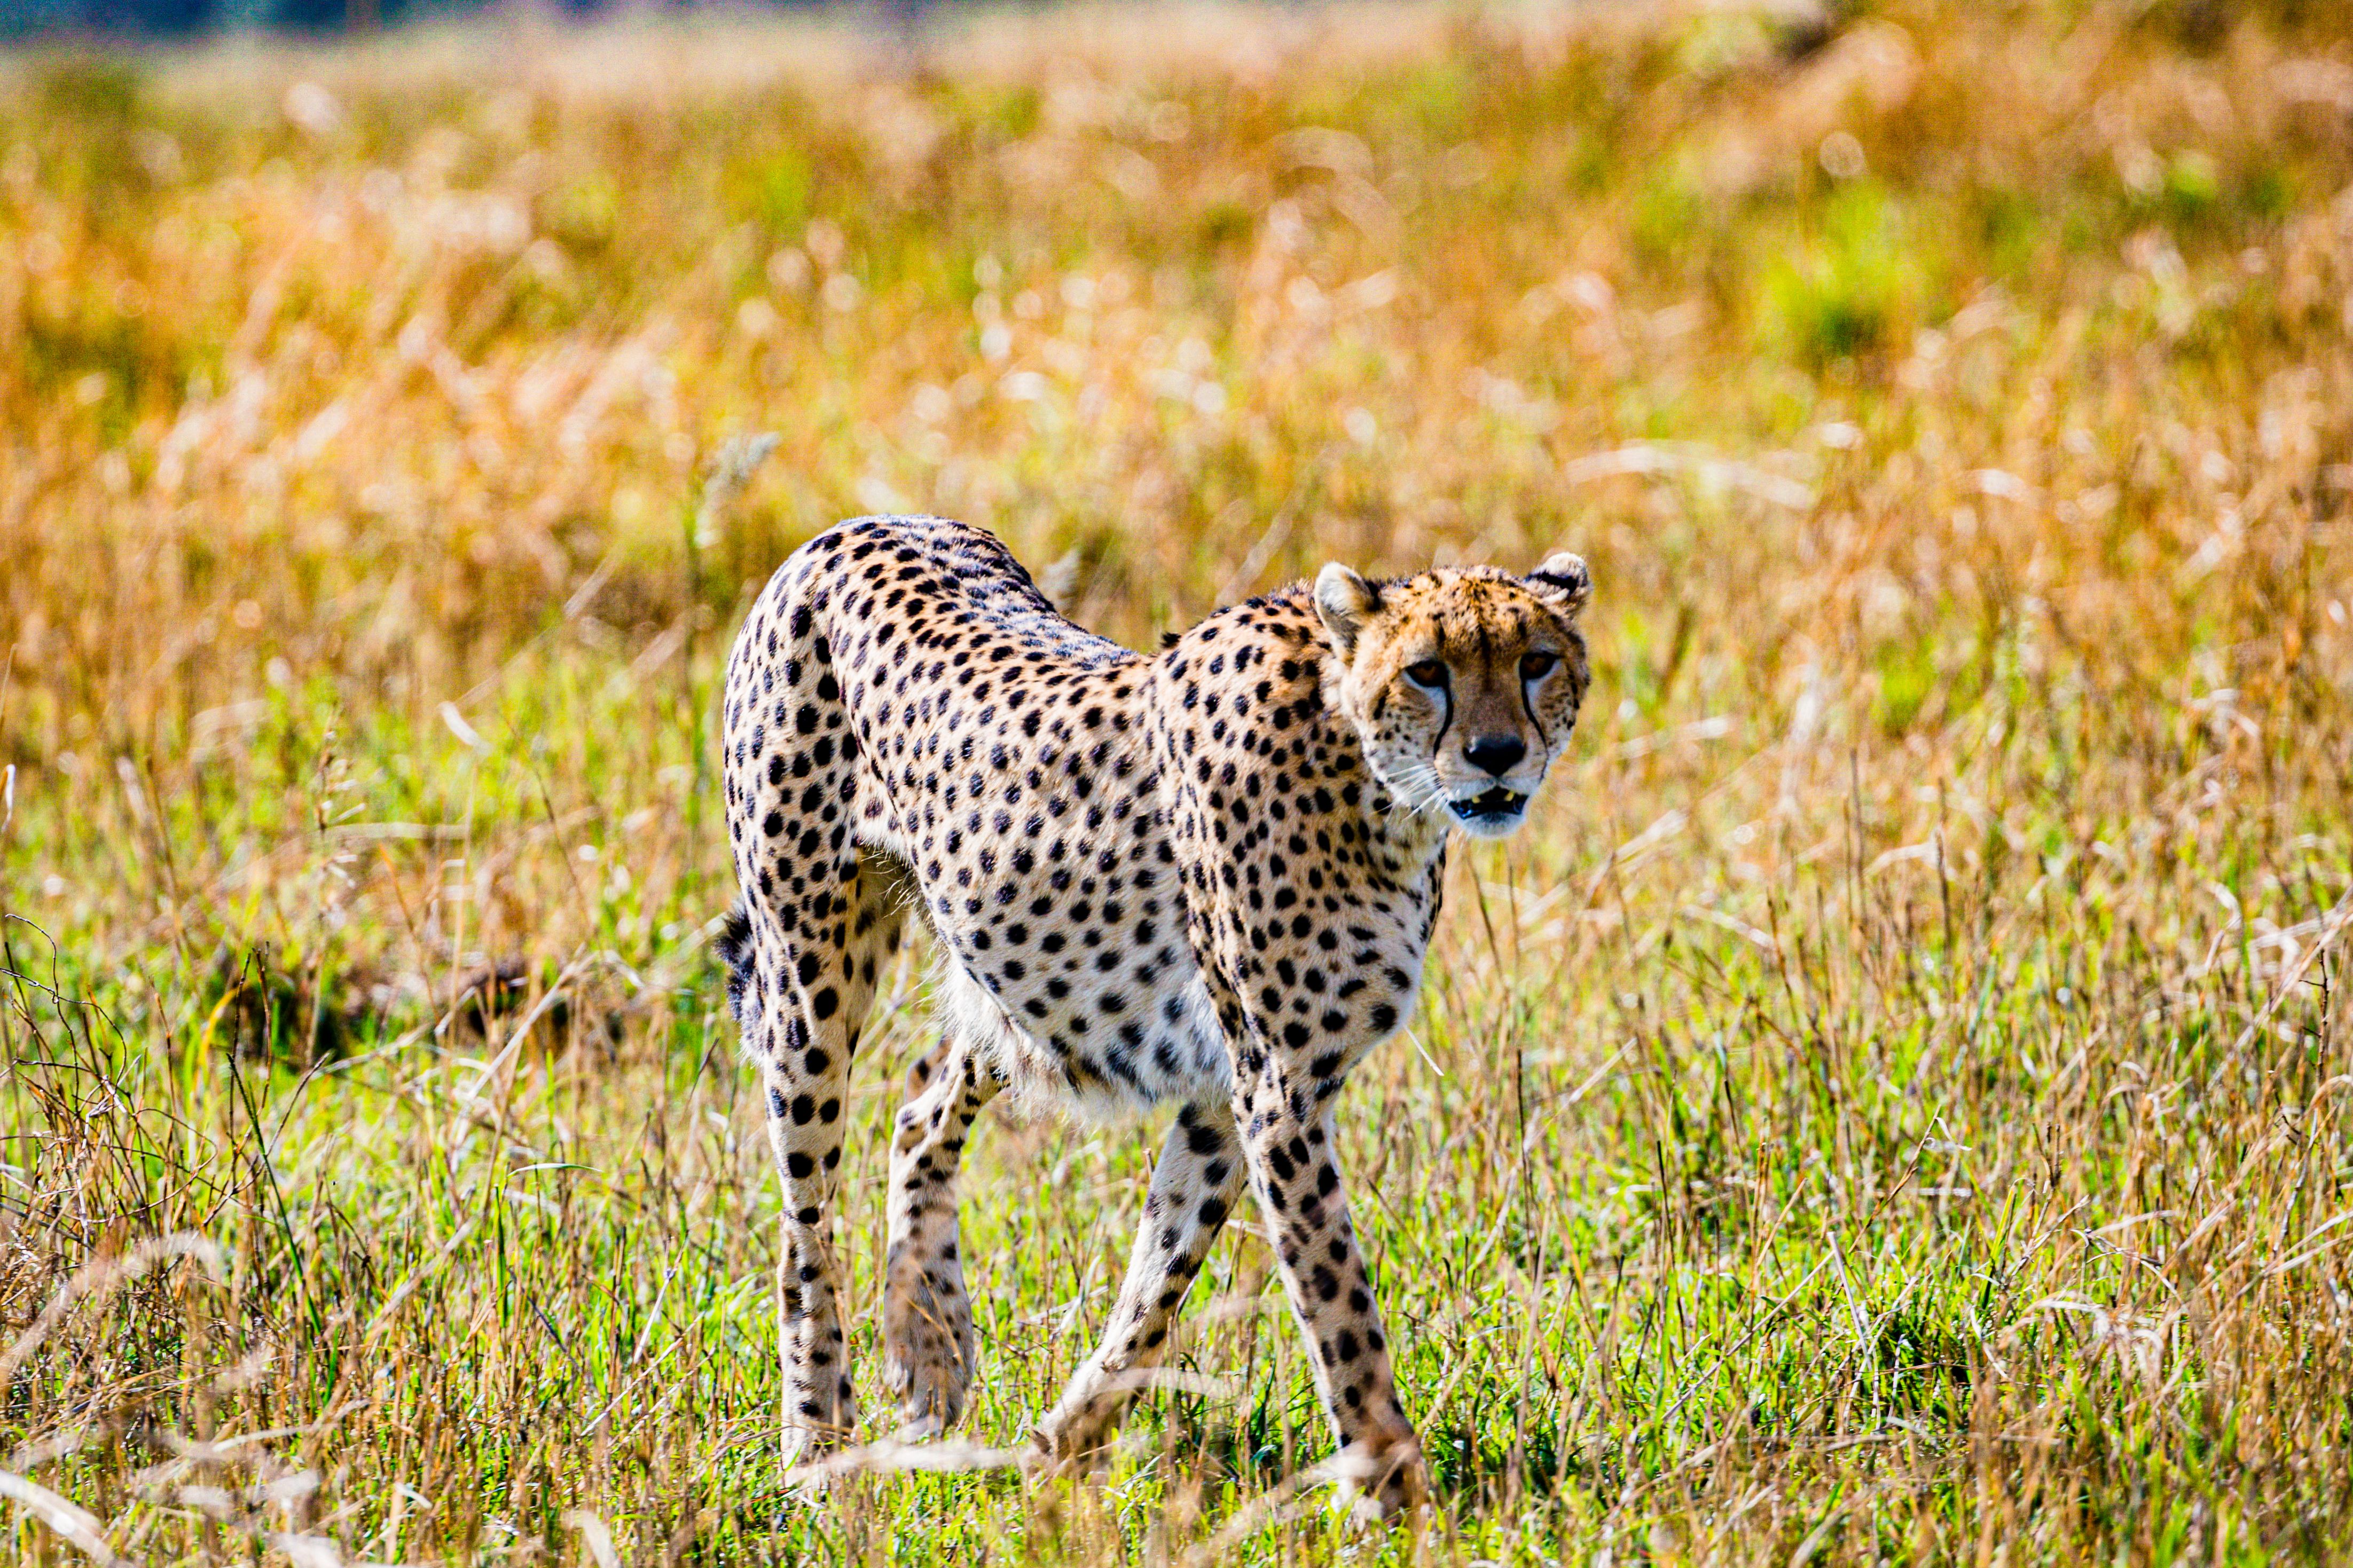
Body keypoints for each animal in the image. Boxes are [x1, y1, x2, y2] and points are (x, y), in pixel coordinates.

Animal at [713, 513, 1592, 1517]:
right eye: (1427, 670)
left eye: (1535, 661)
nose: (1497, 755)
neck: (1373, 784)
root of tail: (855, 526)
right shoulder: (1277, 1086)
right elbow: (1336, 1302)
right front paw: (1394, 1490)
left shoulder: (1229, 1089)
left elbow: (1160, 1279)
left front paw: (1057, 1448)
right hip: (811, 972)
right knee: (803, 1227)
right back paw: (814, 1447)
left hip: (1019, 981)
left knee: (922, 1102)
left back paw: (928, 1347)